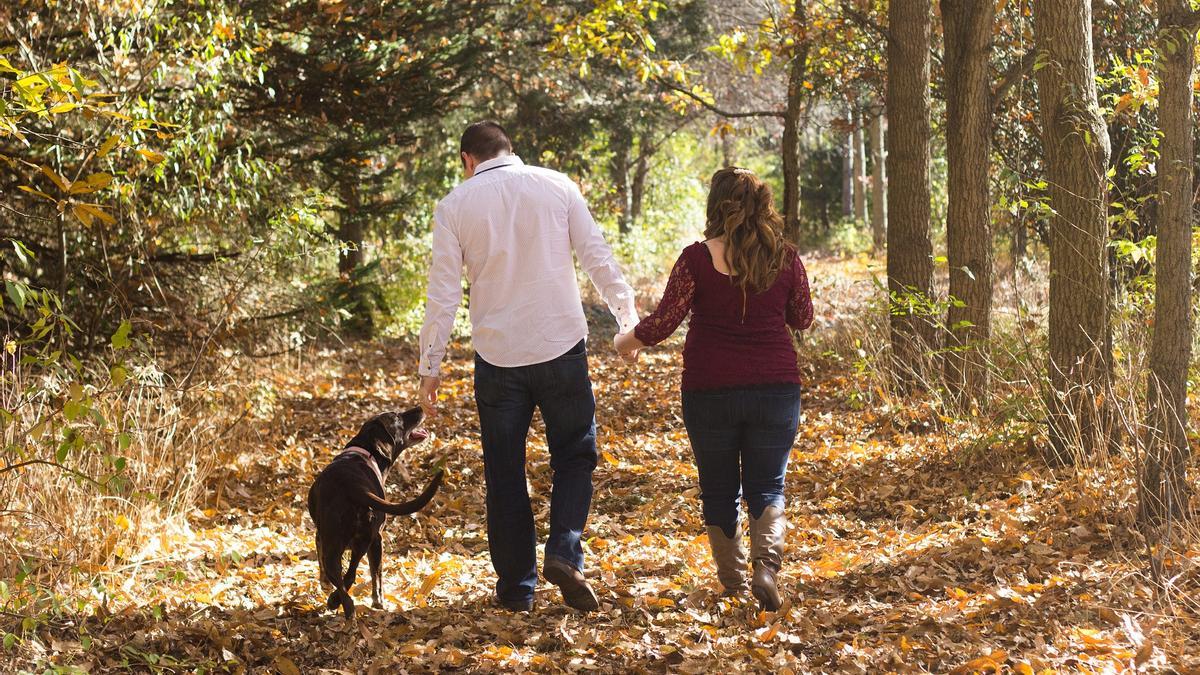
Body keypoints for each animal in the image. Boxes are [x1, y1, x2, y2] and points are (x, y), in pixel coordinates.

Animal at [307, 408, 444, 619]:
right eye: (398, 417)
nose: (420, 408)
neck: (365, 450)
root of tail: (354, 486)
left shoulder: (321, 537)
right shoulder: (375, 539)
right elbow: (376, 573)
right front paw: (377, 602)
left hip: (343, 543)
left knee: (343, 576)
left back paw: (338, 604)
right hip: (366, 540)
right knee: (350, 575)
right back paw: (344, 605)